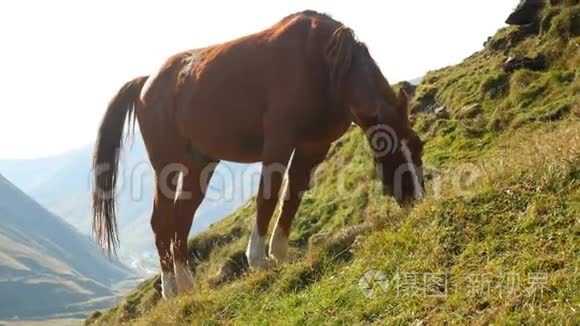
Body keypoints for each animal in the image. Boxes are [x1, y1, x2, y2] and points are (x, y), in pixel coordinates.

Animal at [93, 10, 424, 300]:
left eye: (418, 146)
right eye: (388, 151)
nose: (417, 199)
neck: (324, 63)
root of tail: (147, 81)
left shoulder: (313, 147)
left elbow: (292, 196)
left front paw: (279, 253)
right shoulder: (279, 143)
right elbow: (269, 195)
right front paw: (258, 259)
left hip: (200, 166)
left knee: (181, 219)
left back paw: (188, 287)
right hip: (168, 167)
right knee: (161, 221)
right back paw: (171, 291)